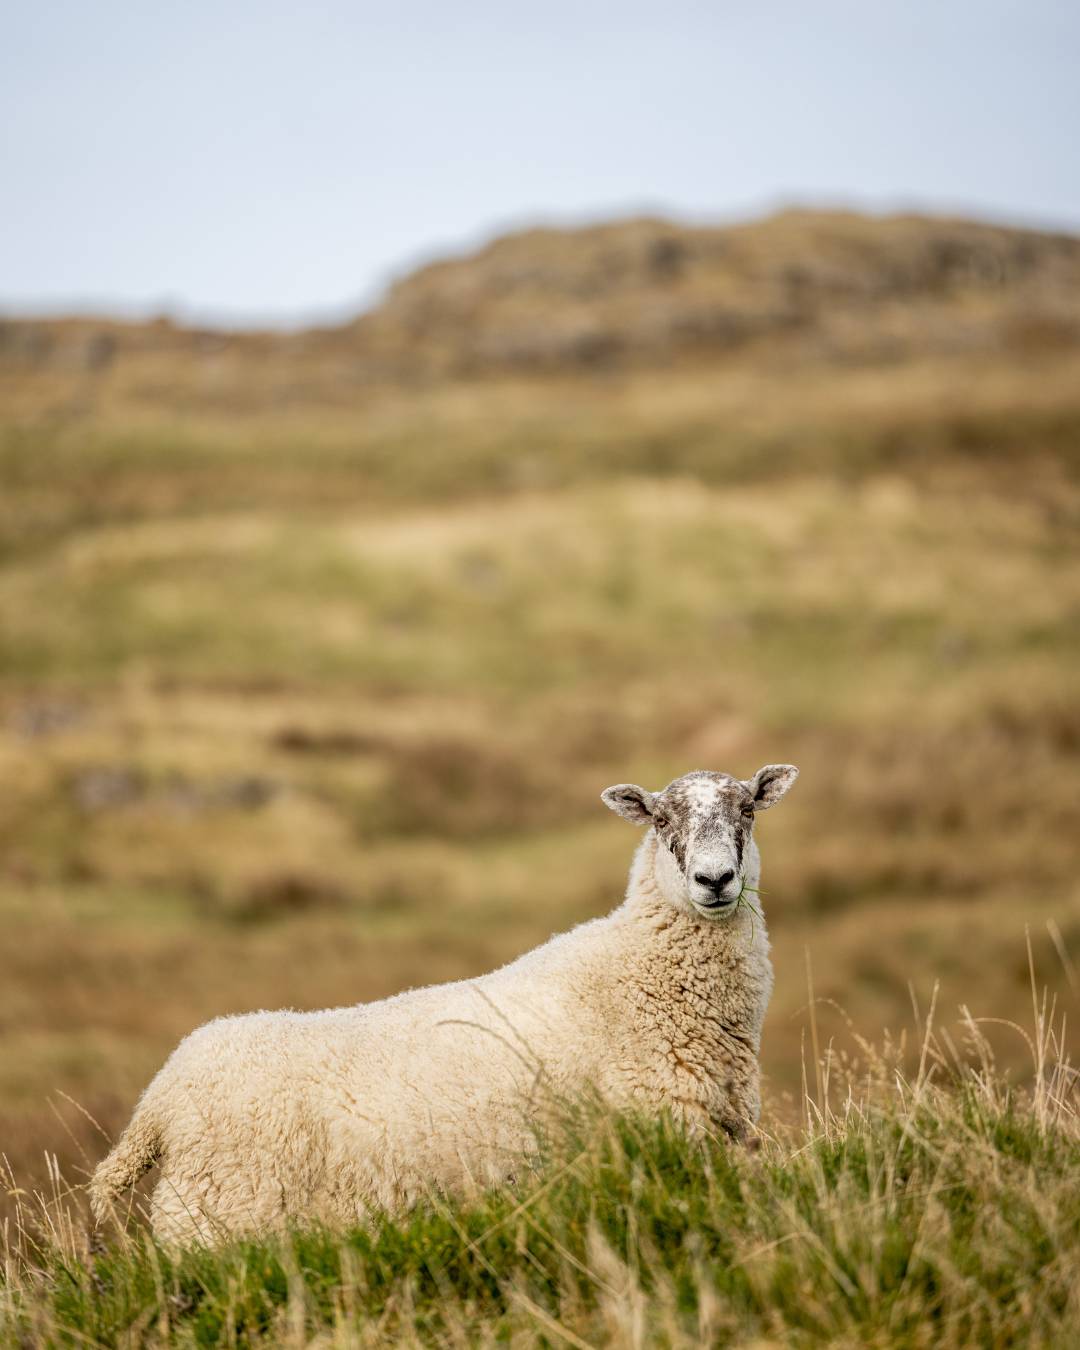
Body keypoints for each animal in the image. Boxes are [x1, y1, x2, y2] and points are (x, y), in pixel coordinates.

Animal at [90, 764, 798, 1243]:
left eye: (748, 811)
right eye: (660, 819)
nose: (714, 880)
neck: (639, 971)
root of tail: (158, 1102)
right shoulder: (662, 1133)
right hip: (219, 1219)